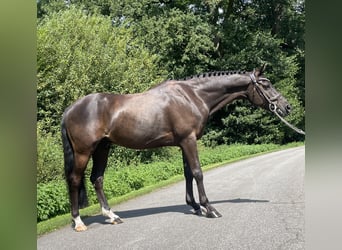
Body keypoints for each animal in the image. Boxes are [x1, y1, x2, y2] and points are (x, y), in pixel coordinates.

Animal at [61, 65, 292, 231]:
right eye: (266, 84)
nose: (286, 107)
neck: (193, 95)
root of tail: (70, 109)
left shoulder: (183, 142)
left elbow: (188, 173)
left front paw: (195, 206)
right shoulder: (189, 140)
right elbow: (198, 172)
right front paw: (209, 208)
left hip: (102, 148)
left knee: (97, 179)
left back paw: (112, 215)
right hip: (83, 151)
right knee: (74, 179)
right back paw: (78, 221)